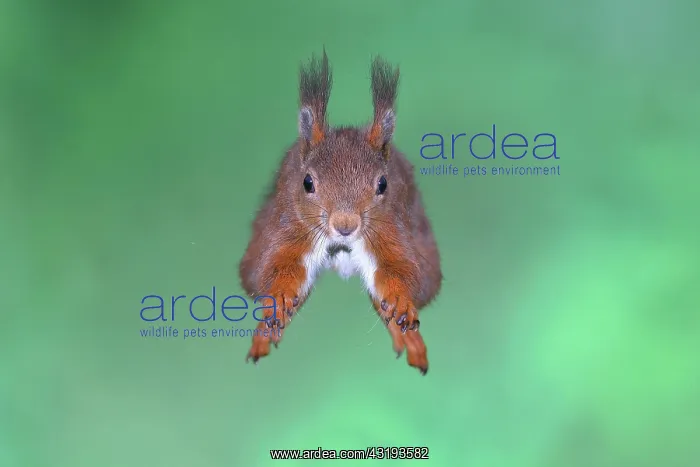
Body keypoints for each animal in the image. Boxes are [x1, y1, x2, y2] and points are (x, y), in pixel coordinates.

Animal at [238, 50, 442, 375]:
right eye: (307, 182)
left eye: (383, 184)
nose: (345, 226)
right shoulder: (288, 228)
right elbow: (279, 267)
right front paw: (279, 297)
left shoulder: (392, 232)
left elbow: (398, 271)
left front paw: (400, 300)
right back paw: (265, 335)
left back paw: (410, 341)